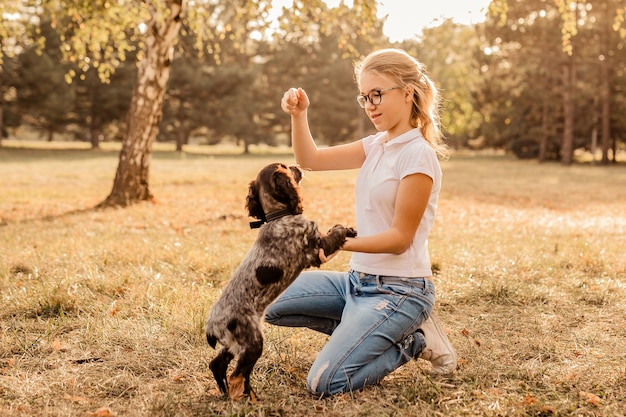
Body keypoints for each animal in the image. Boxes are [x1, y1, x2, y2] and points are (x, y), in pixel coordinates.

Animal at [204, 162, 354, 400]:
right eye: (284, 167)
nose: (297, 164)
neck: (278, 216)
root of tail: (211, 328)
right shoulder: (316, 249)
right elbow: (334, 234)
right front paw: (346, 229)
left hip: (234, 344)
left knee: (218, 365)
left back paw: (230, 393)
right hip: (252, 342)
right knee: (238, 375)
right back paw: (248, 399)